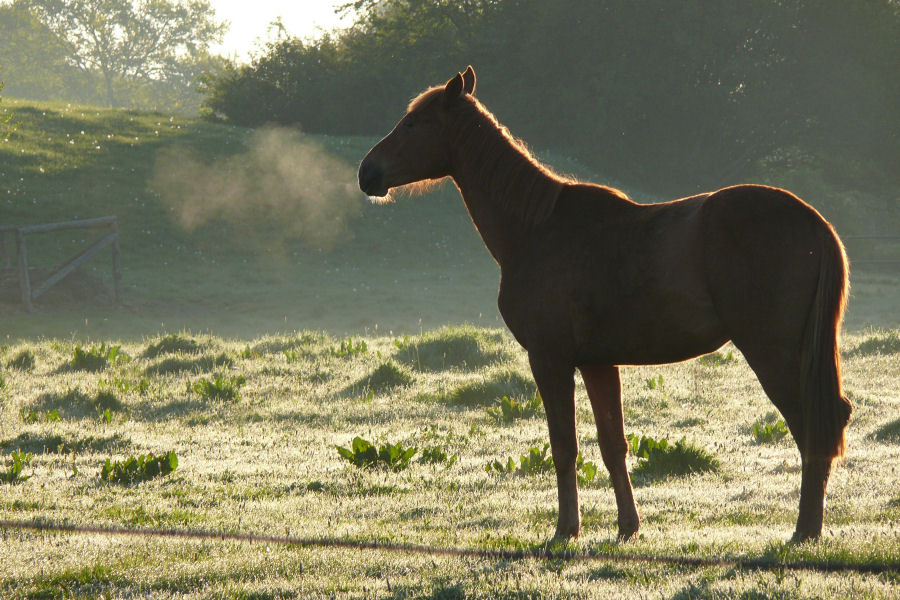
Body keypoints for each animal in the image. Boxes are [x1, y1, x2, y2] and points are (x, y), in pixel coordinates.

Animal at [356, 67, 852, 544]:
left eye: (412, 123)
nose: (367, 172)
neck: (537, 229)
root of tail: (814, 221)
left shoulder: (550, 360)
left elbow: (564, 447)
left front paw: (565, 530)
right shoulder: (597, 363)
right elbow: (613, 445)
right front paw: (628, 526)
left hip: (772, 352)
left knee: (812, 426)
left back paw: (805, 530)